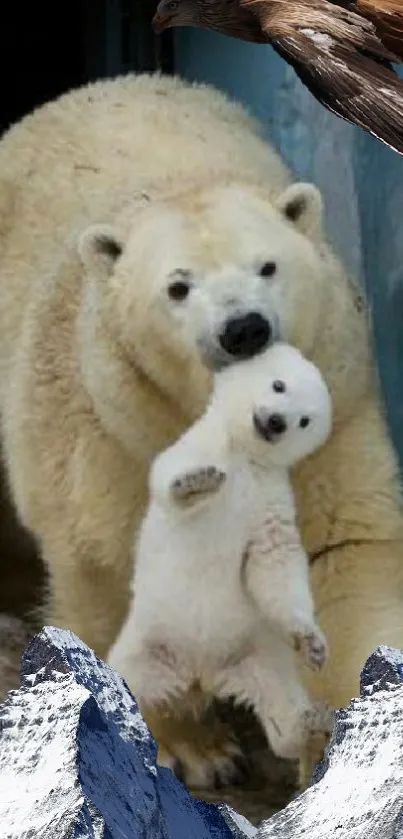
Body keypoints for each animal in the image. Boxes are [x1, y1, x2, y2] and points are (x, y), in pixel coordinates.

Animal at [109, 342, 332, 760]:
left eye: (304, 421)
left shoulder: (268, 498)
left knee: (279, 702)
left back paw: (313, 722)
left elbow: (274, 561)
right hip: (145, 641)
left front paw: (311, 643)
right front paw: (197, 482)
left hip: (254, 655)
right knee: (119, 676)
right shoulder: (200, 445)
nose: (276, 422)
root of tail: (199, 676)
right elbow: (170, 477)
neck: (244, 456)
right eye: (279, 384)